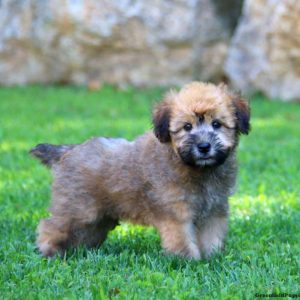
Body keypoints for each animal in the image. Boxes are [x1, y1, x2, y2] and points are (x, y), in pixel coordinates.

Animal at [31, 81, 251, 258]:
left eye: (217, 124)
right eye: (187, 127)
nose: (204, 147)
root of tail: (68, 151)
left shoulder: (214, 210)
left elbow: (211, 238)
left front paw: (212, 258)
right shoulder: (176, 213)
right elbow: (182, 239)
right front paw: (188, 260)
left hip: (98, 217)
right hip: (77, 208)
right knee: (50, 225)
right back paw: (49, 250)